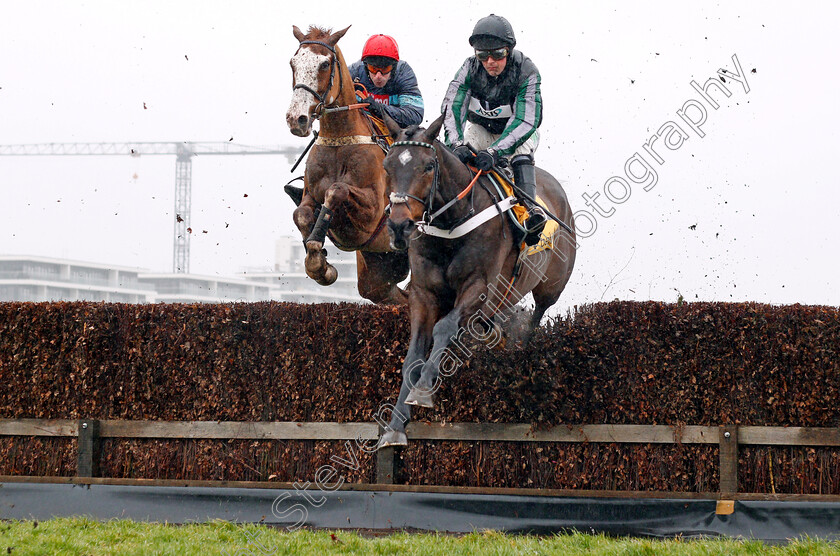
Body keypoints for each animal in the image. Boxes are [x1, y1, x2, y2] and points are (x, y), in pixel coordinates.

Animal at [288, 25, 408, 304]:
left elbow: (337, 190)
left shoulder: (373, 212)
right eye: (293, 63)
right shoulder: (309, 195)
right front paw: (319, 264)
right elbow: (301, 214)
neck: (339, 140)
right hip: (379, 269)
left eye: (324, 64)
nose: (296, 119)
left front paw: (318, 251)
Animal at [378, 113, 576, 448]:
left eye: (427, 166)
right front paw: (395, 426)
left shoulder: (478, 287)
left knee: (537, 315)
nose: (399, 226)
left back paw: (524, 348)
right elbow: (413, 355)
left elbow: (445, 328)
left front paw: (423, 391)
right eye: (387, 165)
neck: (452, 222)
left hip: (551, 286)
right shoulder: (423, 294)